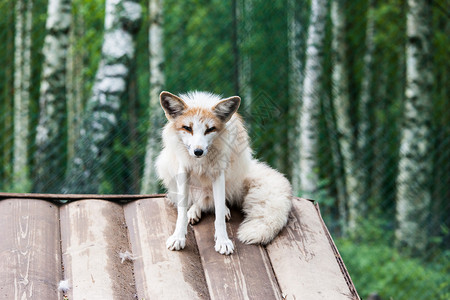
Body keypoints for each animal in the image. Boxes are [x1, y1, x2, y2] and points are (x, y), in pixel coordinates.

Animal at [156, 90, 294, 254]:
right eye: (187, 128)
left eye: (210, 129)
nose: (198, 151)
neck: (202, 162)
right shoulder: (184, 169)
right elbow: (181, 213)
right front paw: (178, 237)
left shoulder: (218, 173)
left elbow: (219, 213)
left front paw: (222, 240)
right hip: (167, 168)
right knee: (197, 201)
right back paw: (194, 211)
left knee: (216, 201)